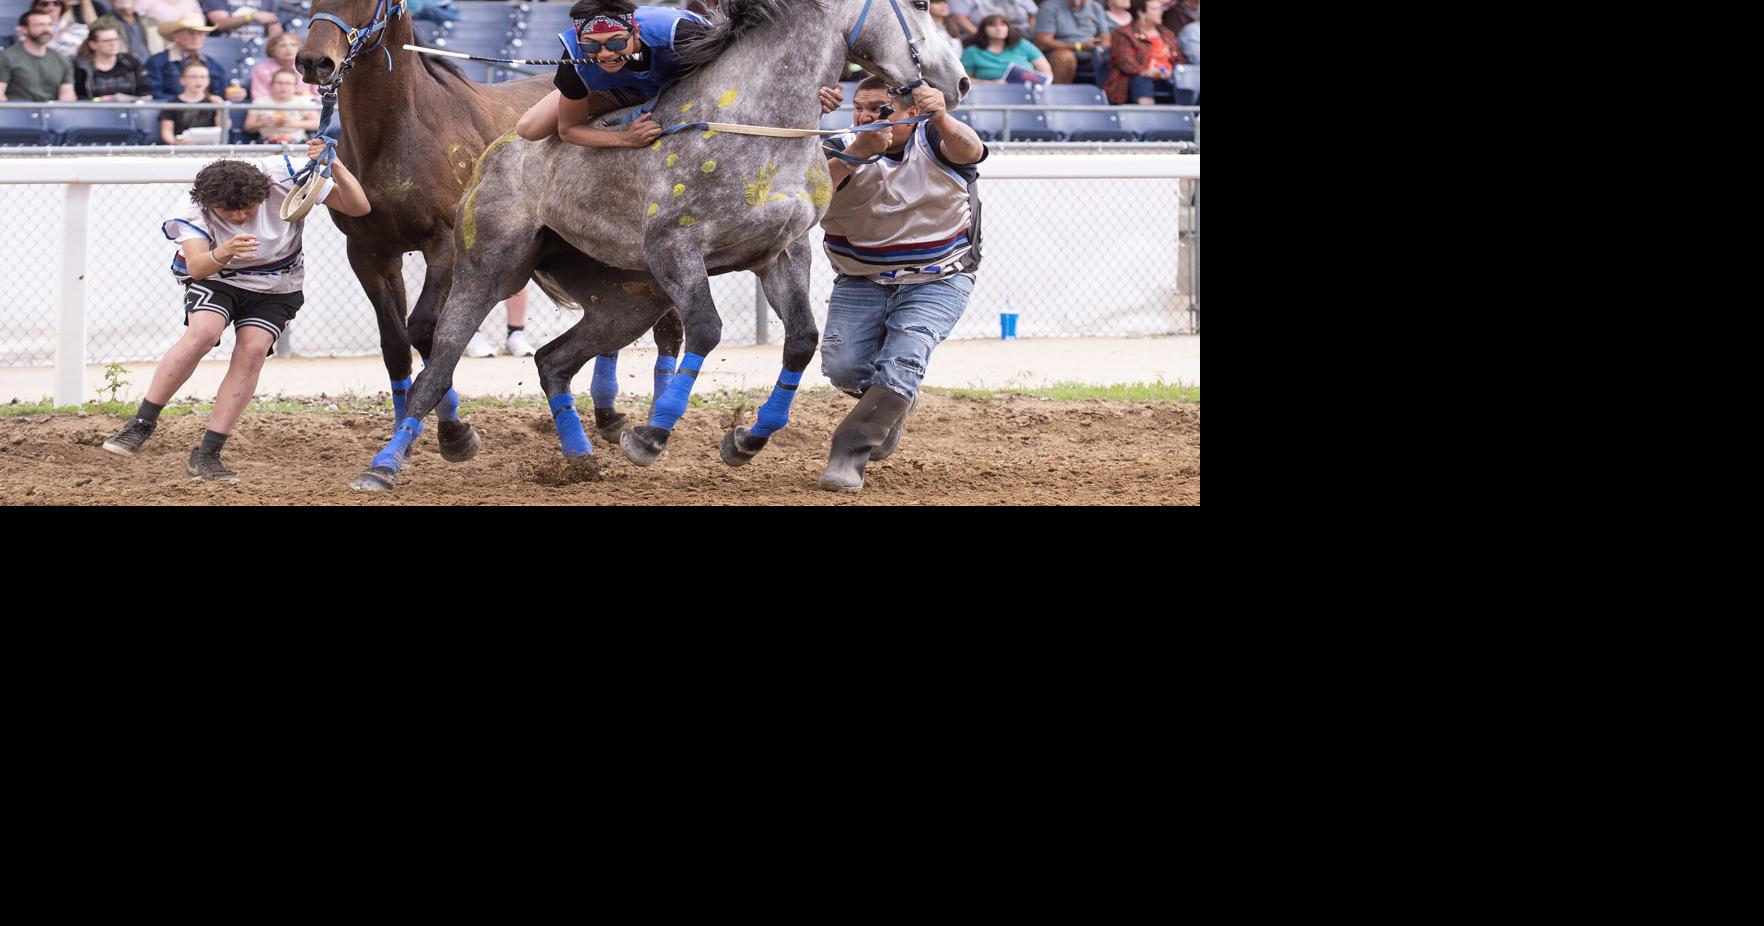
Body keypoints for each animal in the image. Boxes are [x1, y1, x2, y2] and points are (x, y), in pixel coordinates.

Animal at [296, 0, 685, 462]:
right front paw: (404, 435)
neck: (399, 133)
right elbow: (395, 344)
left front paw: (453, 433)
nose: (314, 61)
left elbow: (425, 329)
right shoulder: (369, 253)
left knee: (667, 328)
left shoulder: (445, 245)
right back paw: (608, 415)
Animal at [349, 0, 969, 491]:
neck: (750, 124)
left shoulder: (783, 252)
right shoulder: (677, 250)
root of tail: (494, 153)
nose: (959, 82)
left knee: (553, 361)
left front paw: (746, 441)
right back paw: (385, 465)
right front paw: (651, 437)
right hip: (488, 268)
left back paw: (579, 459)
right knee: (438, 360)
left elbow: (801, 341)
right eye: (919, 3)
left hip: (626, 301)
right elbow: (707, 330)